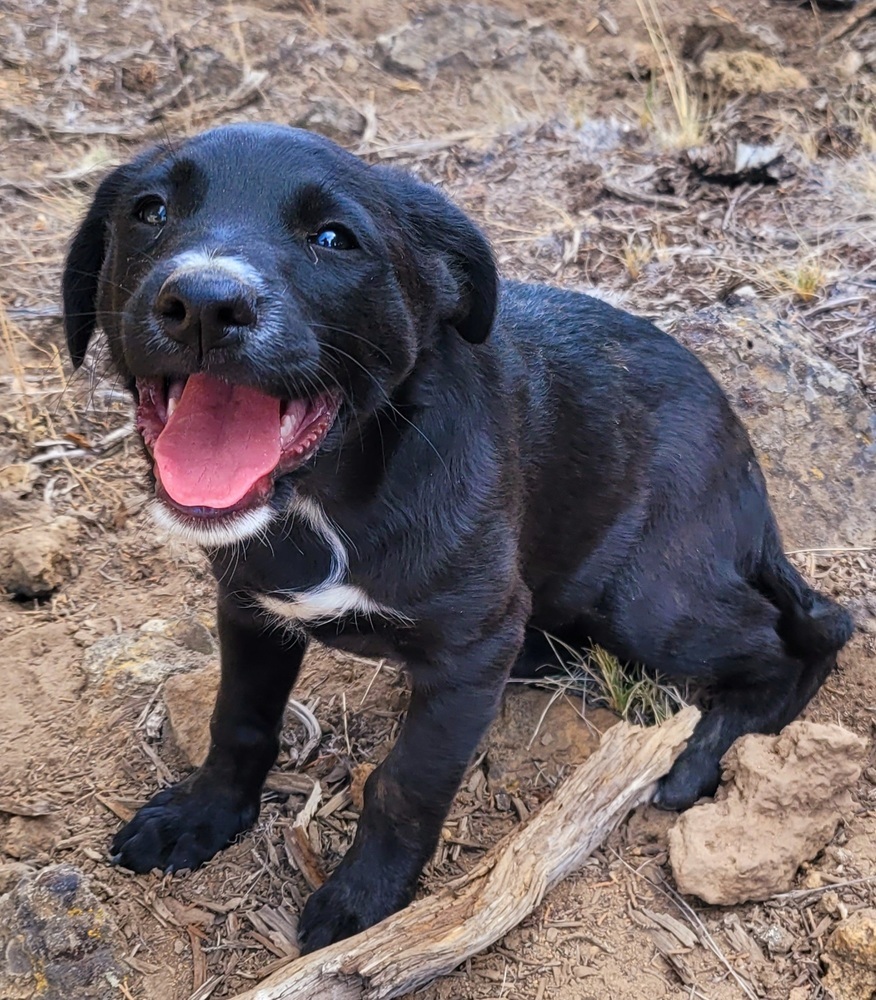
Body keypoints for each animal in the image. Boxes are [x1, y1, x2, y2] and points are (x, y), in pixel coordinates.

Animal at [65, 125, 852, 952]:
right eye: (151, 211)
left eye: (333, 238)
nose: (203, 306)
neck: (327, 499)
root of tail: (744, 454)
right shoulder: (251, 609)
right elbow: (238, 719)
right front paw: (202, 814)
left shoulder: (466, 654)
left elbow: (406, 783)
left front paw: (365, 899)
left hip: (651, 599)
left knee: (812, 633)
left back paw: (703, 756)